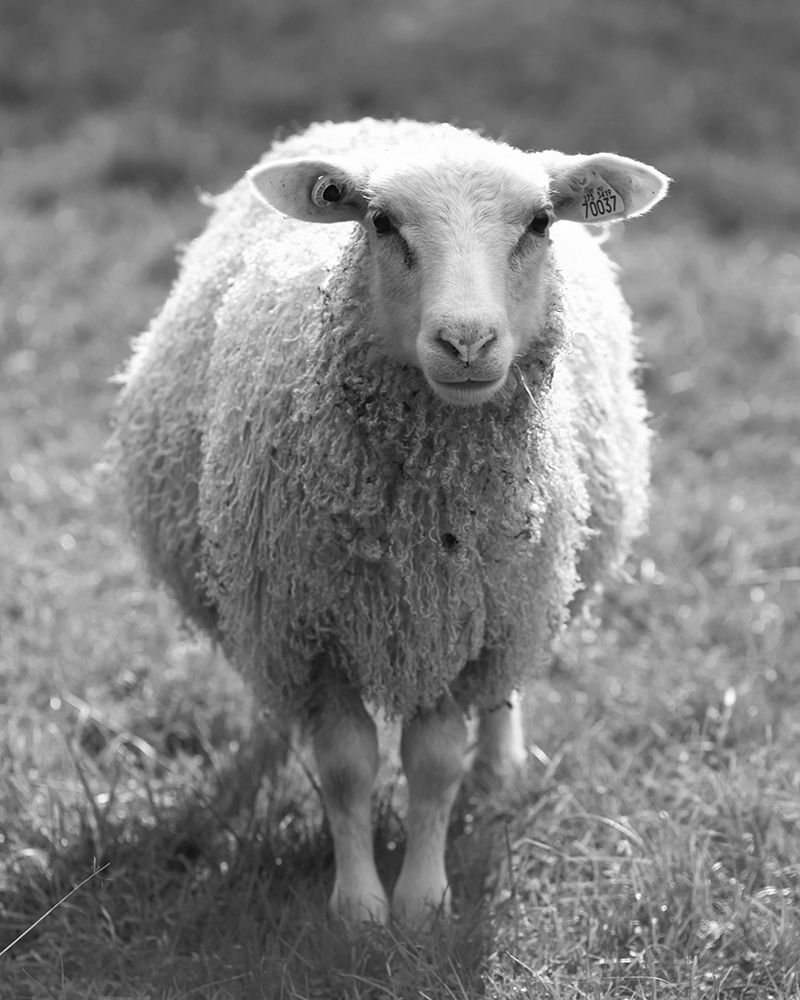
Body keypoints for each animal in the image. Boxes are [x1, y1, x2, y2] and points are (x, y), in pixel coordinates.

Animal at [114, 118, 668, 927]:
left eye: (540, 223)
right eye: (380, 223)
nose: (466, 343)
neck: (418, 530)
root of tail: (400, 124)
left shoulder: (461, 623)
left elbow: (433, 765)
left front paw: (423, 900)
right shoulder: (311, 629)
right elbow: (347, 767)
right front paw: (358, 907)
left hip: (520, 605)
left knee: (501, 694)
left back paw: (499, 763)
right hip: (262, 611)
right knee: (270, 685)